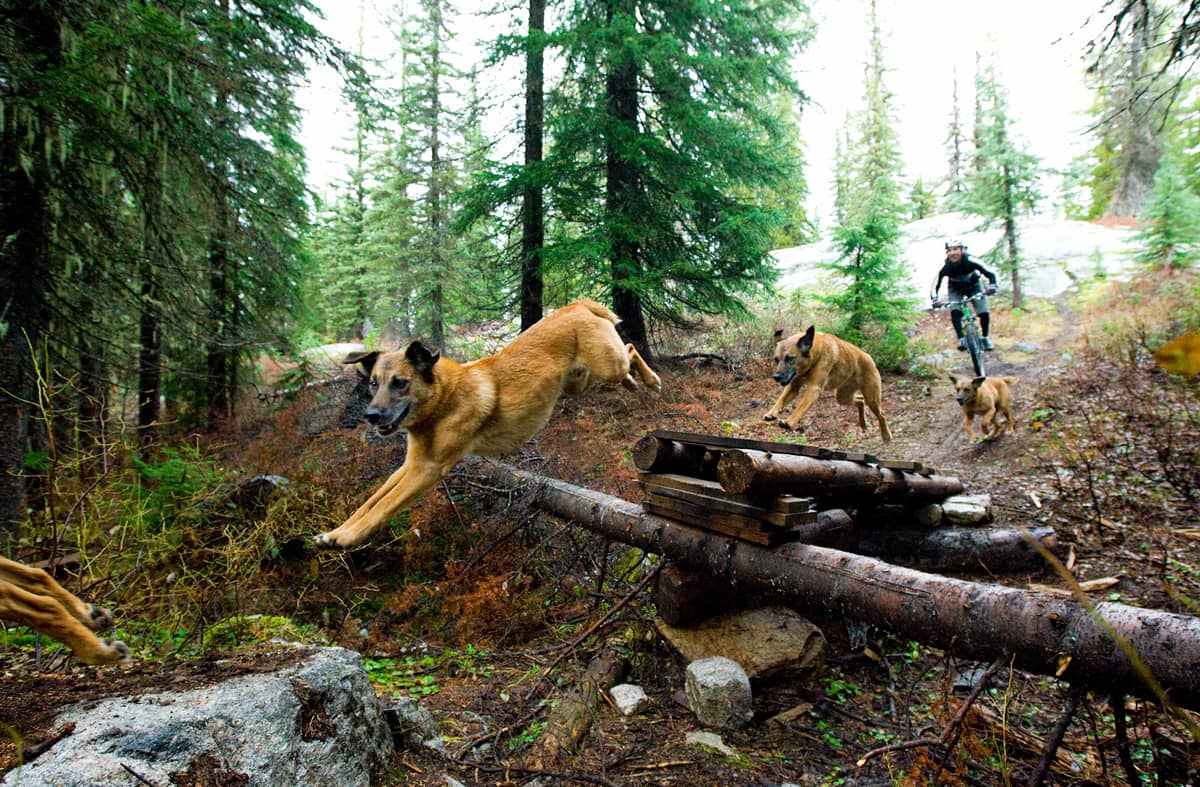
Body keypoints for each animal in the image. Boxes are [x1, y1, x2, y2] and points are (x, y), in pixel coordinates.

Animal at [314, 298, 662, 549]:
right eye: (373, 383)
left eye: (400, 383)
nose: (370, 416)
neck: (443, 399)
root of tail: (576, 305)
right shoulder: (410, 465)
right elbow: (370, 502)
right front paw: (334, 532)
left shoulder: (428, 469)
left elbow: (383, 507)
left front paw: (347, 538)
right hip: (580, 381)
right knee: (624, 360)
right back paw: (634, 384)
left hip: (607, 365)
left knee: (630, 349)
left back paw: (651, 380)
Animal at [758, 326, 892, 441]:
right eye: (776, 359)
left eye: (790, 358)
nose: (776, 377)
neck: (815, 353)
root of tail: (868, 357)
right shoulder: (793, 386)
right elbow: (781, 400)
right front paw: (771, 413)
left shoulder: (814, 388)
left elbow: (800, 407)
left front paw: (789, 421)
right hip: (842, 396)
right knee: (860, 400)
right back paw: (863, 423)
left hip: (872, 398)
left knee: (881, 414)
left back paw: (886, 436)